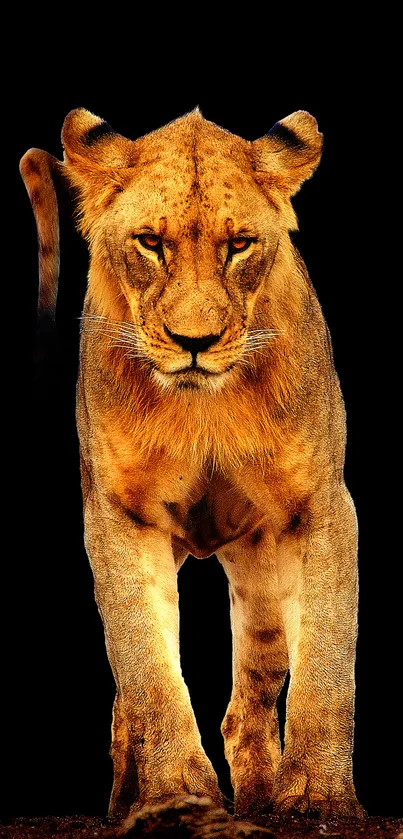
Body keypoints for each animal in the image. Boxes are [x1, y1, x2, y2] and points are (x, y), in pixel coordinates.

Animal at [19, 106, 366, 828]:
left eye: (239, 245)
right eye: (151, 243)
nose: (195, 343)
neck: (203, 408)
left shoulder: (321, 505)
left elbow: (328, 659)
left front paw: (318, 797)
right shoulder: (120, 516)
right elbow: (147, 667)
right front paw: (174, 795)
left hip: (261, 576)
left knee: (249, 700)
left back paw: (259, 801)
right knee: (127, 703)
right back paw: (125, 802)